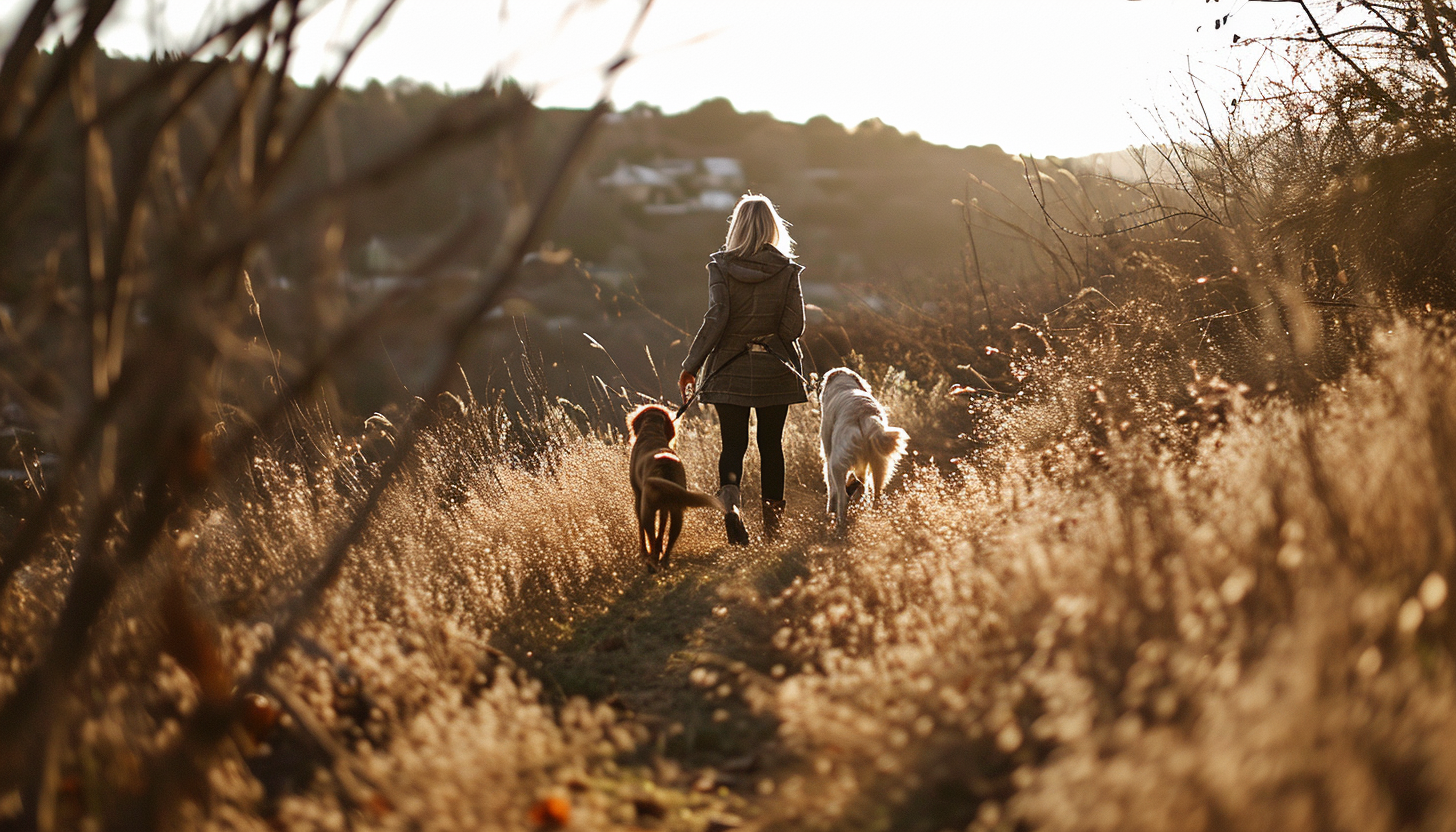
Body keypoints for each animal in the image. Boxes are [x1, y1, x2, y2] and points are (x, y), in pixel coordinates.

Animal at [626, 405, 722, 574]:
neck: (651, 430)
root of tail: (666, 466)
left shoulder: (638, 498)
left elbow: (643, 533)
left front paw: (645, 552)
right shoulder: (666, 508)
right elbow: (661, 530)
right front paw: (659, 548)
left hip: (648, 510)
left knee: (650, 534)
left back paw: (652, 563)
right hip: (678, 512)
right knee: (670, 538)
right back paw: (663, 561)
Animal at [821, 370, 908, 533]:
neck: (845, 385)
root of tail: (865, 417)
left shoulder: (828, 455)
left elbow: (831, 486)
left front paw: (831, 509)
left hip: (837, 463)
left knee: (843, 496)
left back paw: (840, 524)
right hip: (879, 464)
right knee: (876, 495)